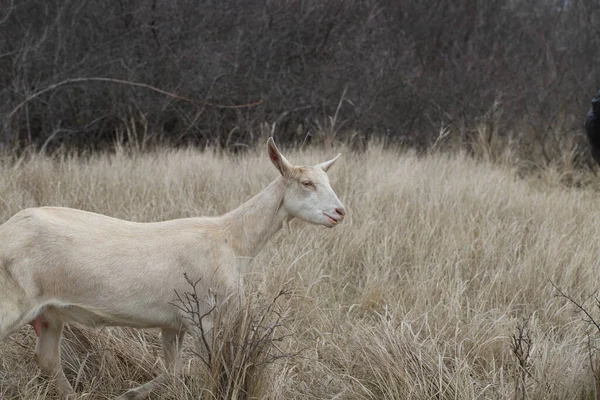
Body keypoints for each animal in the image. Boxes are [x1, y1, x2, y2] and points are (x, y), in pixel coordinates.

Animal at [0, 137, 346, 396]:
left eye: (328, 181)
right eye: (307, 183)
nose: (340, 212)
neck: (233, 242)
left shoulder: (173, 322)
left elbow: (173, 372)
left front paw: (131, 394)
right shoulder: (204, 315)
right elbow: (207, 370)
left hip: (49, 313)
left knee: (48, 360)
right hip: (11, 300)